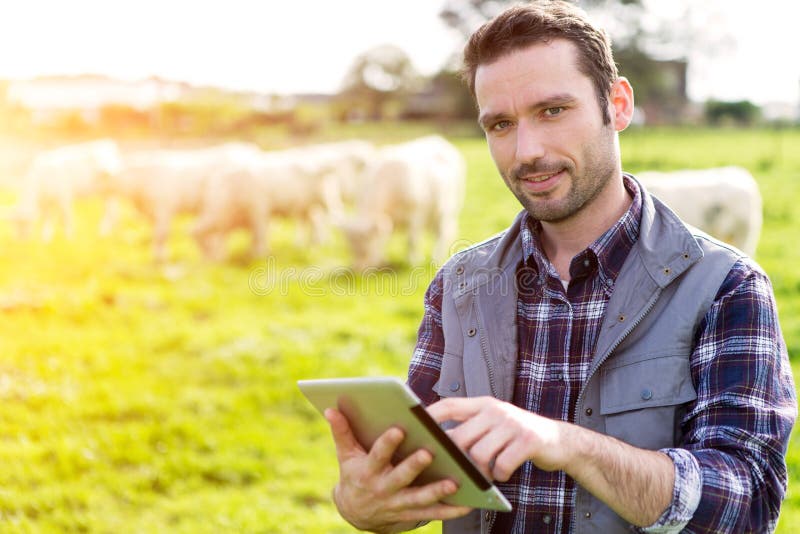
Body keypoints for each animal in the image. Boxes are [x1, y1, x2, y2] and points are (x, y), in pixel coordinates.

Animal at [340, 137, 466, 272]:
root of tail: (438, 140)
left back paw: (436, 258)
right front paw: (383, 261)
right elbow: (385, 241)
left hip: (446, 210)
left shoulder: (416, 215)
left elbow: (412, 241)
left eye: (366, 247)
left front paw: (413, 262)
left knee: (441, 233)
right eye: (350, 249)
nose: (357, 270)